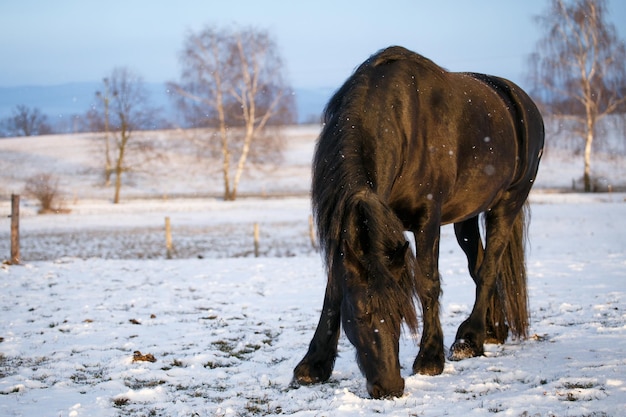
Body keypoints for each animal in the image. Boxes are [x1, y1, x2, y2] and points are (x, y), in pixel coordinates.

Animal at [292, 45, 540, 396]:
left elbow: (428, 282)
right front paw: (313, 364)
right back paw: (492, 331)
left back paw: (470, 339)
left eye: (401, 312)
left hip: (507, 204)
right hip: (466, 218)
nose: (390, 386)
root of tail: (517, 97)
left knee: (489, 267)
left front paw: (430, 357)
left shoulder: (428, 219)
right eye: (360, 314)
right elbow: (333, 289)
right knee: (478, 266)